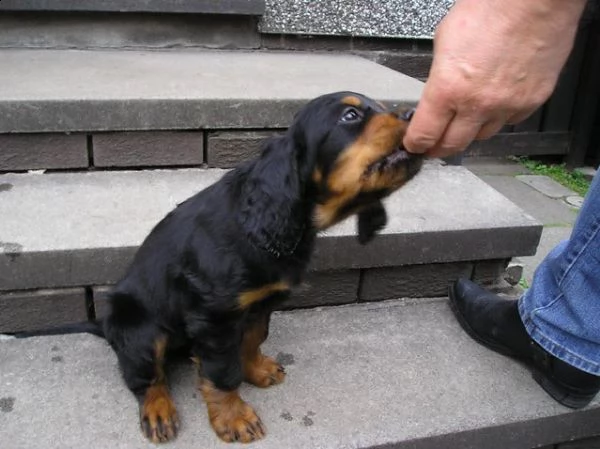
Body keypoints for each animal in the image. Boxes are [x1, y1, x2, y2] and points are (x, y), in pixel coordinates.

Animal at [102, 91, 422, 440]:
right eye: (349, 116)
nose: (416, 114)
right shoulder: (215, 315)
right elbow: (222, 371)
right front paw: (234, 417)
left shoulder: (261, 301)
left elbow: (253, 338)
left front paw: (256, 370)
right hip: (141, 329)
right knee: (145, 376)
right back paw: (158, 409)